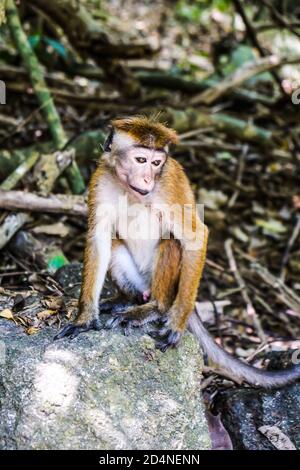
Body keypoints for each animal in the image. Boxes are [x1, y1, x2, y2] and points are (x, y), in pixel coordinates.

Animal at [55, 115, 300, 388]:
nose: (148, 179)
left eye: (156, 163)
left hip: (171, 286)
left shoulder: (168, 185)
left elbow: (196, 236)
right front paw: (85, 318)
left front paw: (176, 324)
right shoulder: (101, 179)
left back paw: (154, 308)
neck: (130, 191)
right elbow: (98, 237)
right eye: (141, 160)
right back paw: (127, 299)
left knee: (170, 243)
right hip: (140, 281)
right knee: (115, 243)